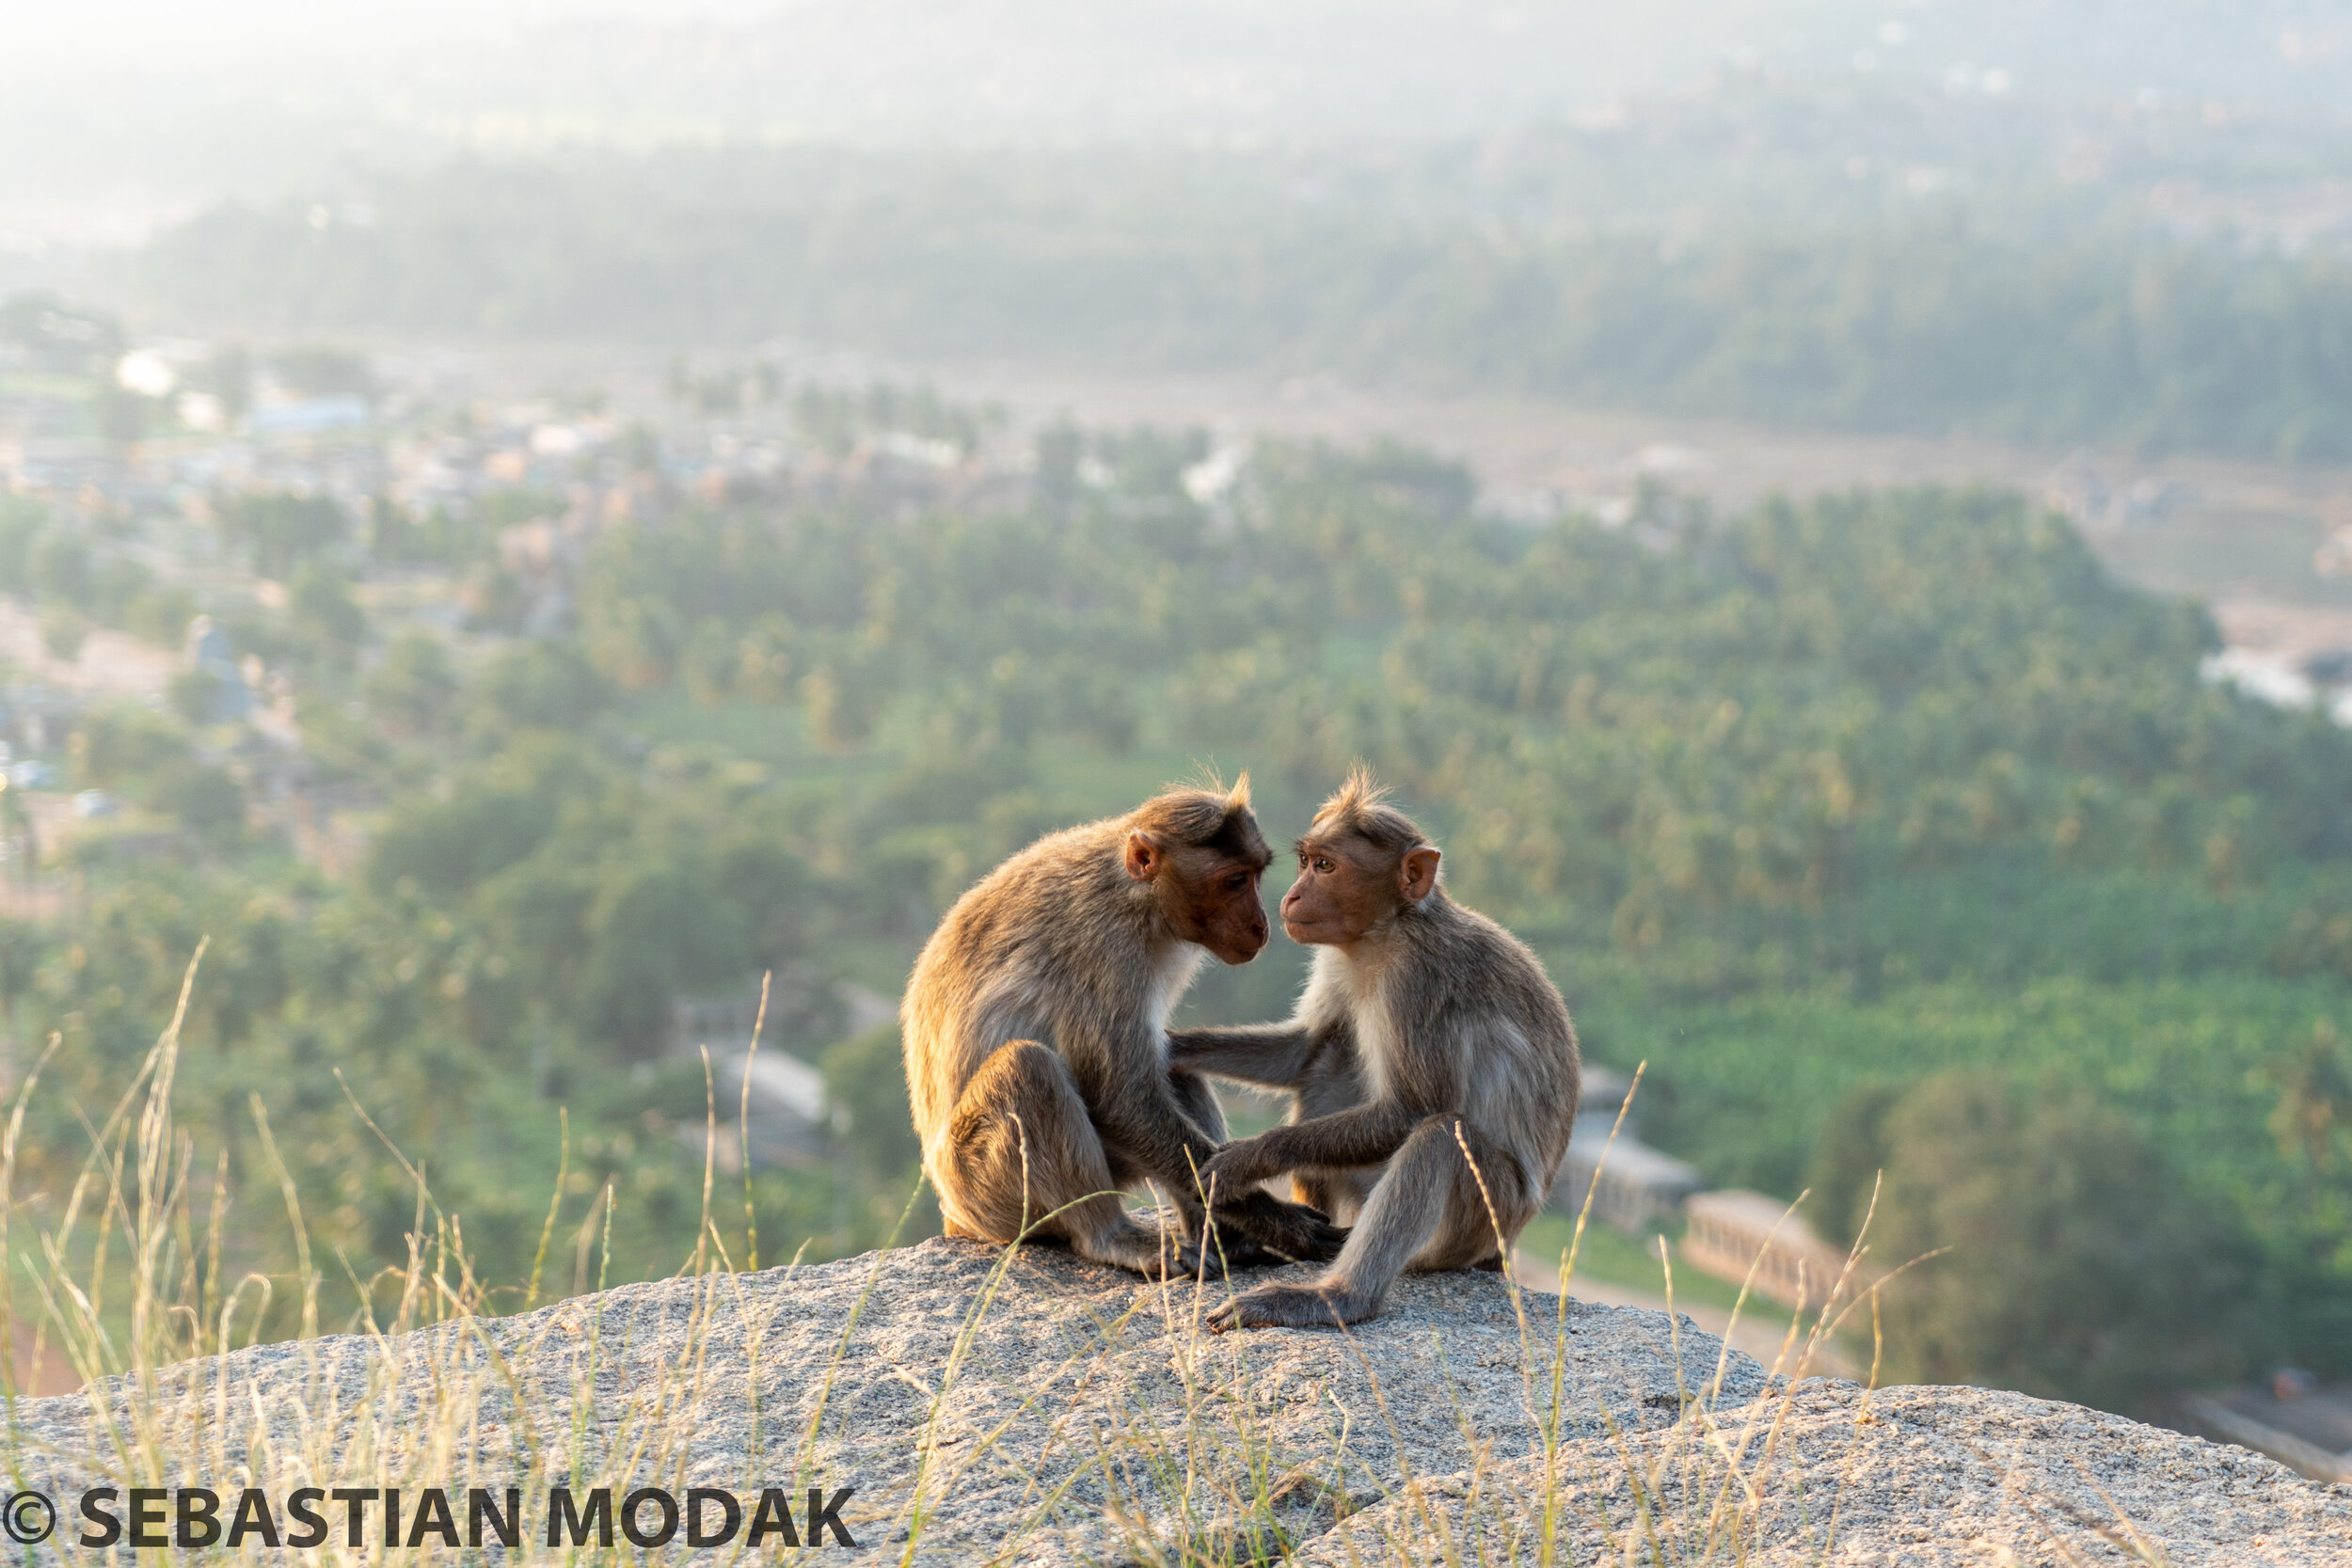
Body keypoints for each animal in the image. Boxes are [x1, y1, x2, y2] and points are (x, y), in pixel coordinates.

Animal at [894, 780, 1345, 1278]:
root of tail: (955, 1216)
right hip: (988, 1194)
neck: (1138, 896)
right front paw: (1282, 1223)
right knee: (1029, 1068)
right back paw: (1111, 1236)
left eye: (1254, 875)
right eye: (1233, 881)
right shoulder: (1104, 947)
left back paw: (1225, 1239)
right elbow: (1119, 1098)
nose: (1262, 924)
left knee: (1168, 1069)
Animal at [1162, 766, 1571, 1335]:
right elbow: (1301, 1052)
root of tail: (1506, 1246)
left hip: (1480, 1224)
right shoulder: (1336, 955)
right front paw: (1173, 1047)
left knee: (1441, 1138)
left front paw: (1248, 1158)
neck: (1386, 931)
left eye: (1327, 867)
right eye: (1307, 861)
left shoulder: (1417, 979)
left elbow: (1413, 1109)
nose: (1292, 899)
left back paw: (1337, 1297)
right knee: (1328, 1060)